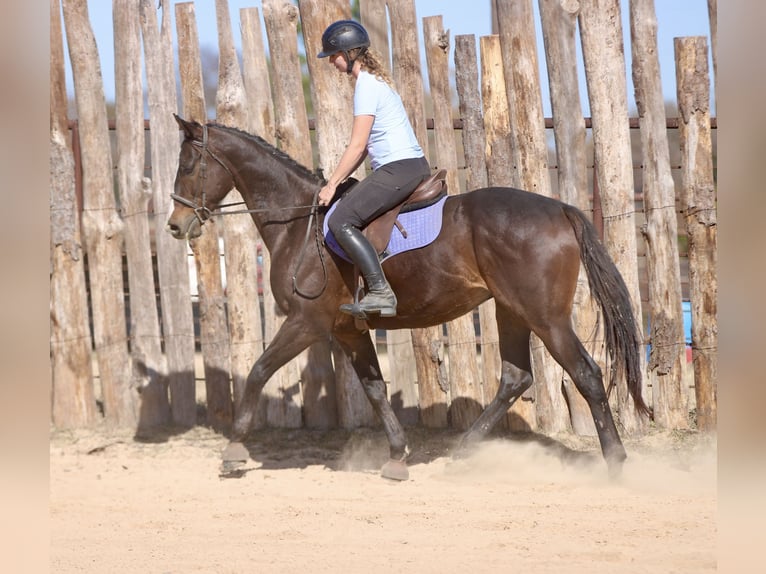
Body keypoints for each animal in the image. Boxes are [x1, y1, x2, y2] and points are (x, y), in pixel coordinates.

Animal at [167, 116, 651, 481]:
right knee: (515, 378)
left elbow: (257, 373)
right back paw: (462, 451)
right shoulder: (347, 330)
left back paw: (616, 464)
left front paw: (233, 452)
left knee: (586, 374)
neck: (298, 223)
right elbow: (375, 389)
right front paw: (398, 456)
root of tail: (561, 209)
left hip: (546, 318)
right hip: (511, 310)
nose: (175, 225)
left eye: (188, 165)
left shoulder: (306, 323)